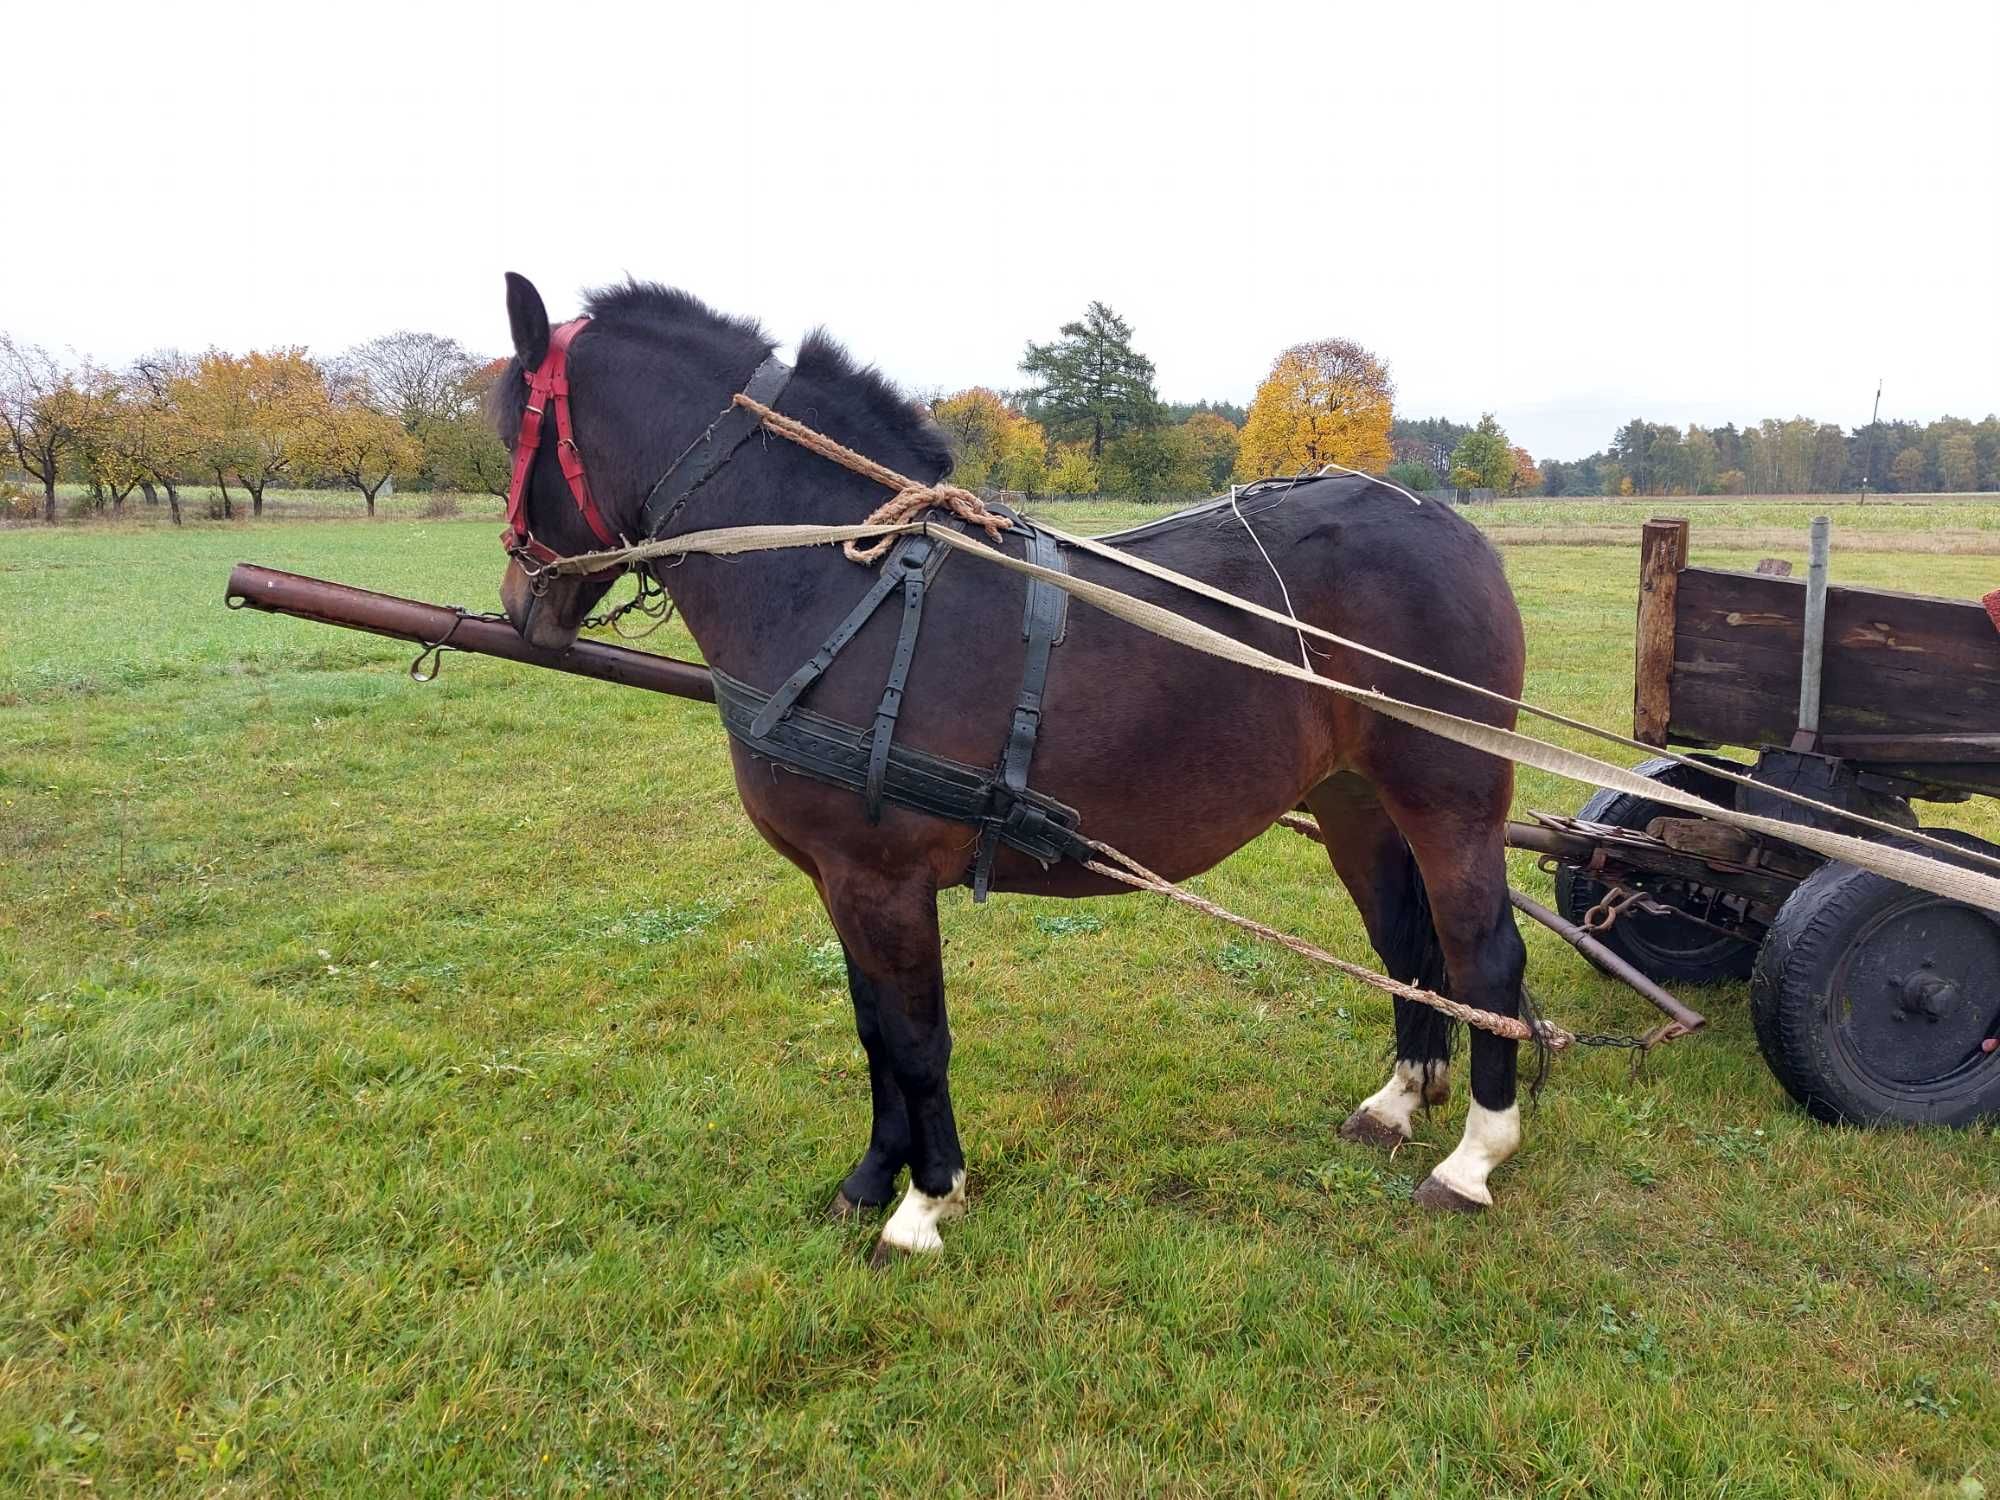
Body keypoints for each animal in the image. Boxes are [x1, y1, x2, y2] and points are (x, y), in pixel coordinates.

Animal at [492, 276, 1520, 1264]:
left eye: (511, 435)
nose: (517, 605)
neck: (843, 580)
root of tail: (1445, 521)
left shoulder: (885, 880)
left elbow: (916, 1041)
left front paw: (924, 1203)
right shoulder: (838, 878)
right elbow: (873, 1029)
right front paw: (871, 1177)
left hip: (1453, 800)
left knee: (1485, 956)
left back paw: (1474, 1158)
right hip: (1354, 801)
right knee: (1407, 944)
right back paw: (1399, 1100)